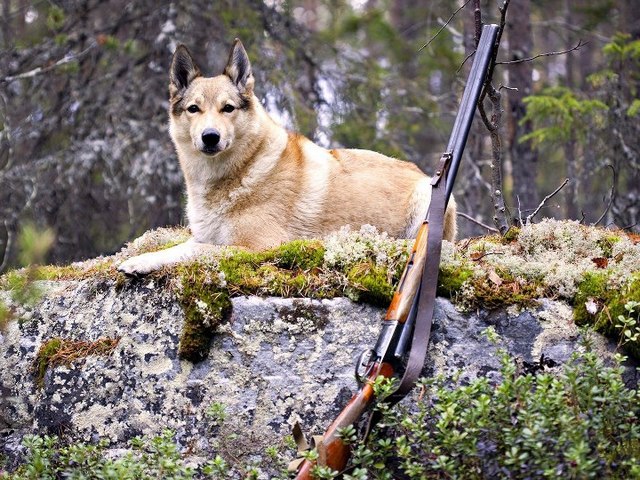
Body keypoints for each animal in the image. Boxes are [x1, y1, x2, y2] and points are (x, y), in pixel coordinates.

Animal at [116, 40, 456, 278]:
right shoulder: (204, 235)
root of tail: (420, 171)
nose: (210, 137)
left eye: (228, 108)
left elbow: (200, 252)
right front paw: (140, 260)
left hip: (426, 200)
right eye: (193, 109)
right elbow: (179, 248)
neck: (242, 171)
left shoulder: (255, 247)